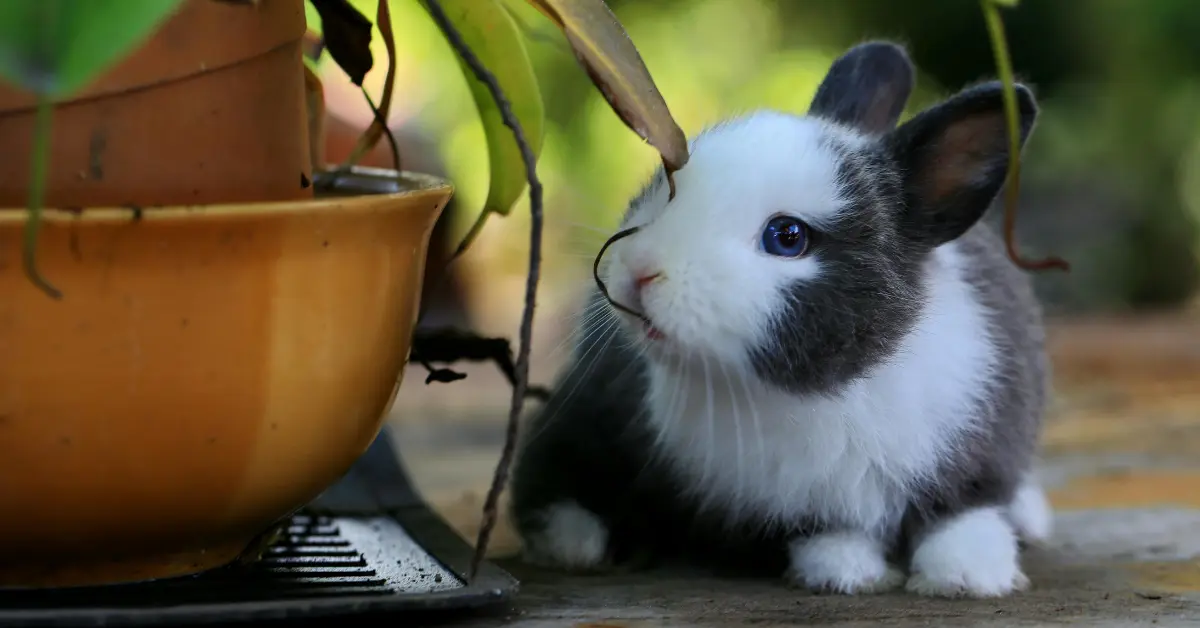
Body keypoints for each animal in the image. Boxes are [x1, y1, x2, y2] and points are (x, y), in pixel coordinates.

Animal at [508, 40, 1053, 599]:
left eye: (787, 237)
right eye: (665, 183)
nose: (639, 269)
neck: (825, 393)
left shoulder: (981, 453)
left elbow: (962, 516)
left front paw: (968, 577)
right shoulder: (795, 508)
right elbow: (826, 533)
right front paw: (848, 573)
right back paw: (575, 544)